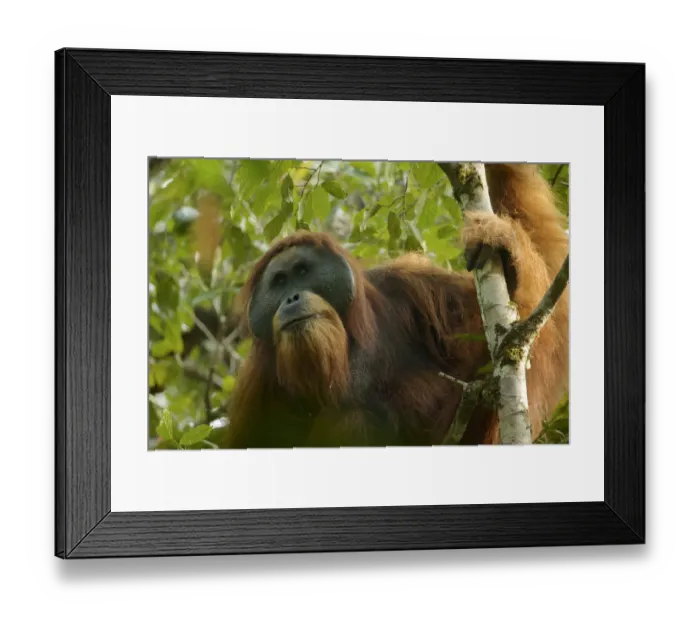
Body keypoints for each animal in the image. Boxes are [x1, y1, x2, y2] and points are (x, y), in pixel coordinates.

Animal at [223, 163, 569, 448]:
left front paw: (508, 255)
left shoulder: (412, 285)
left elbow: (541, 332)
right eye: (280, 282)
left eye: (303, 272)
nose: (292, 298)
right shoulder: (257, 384)